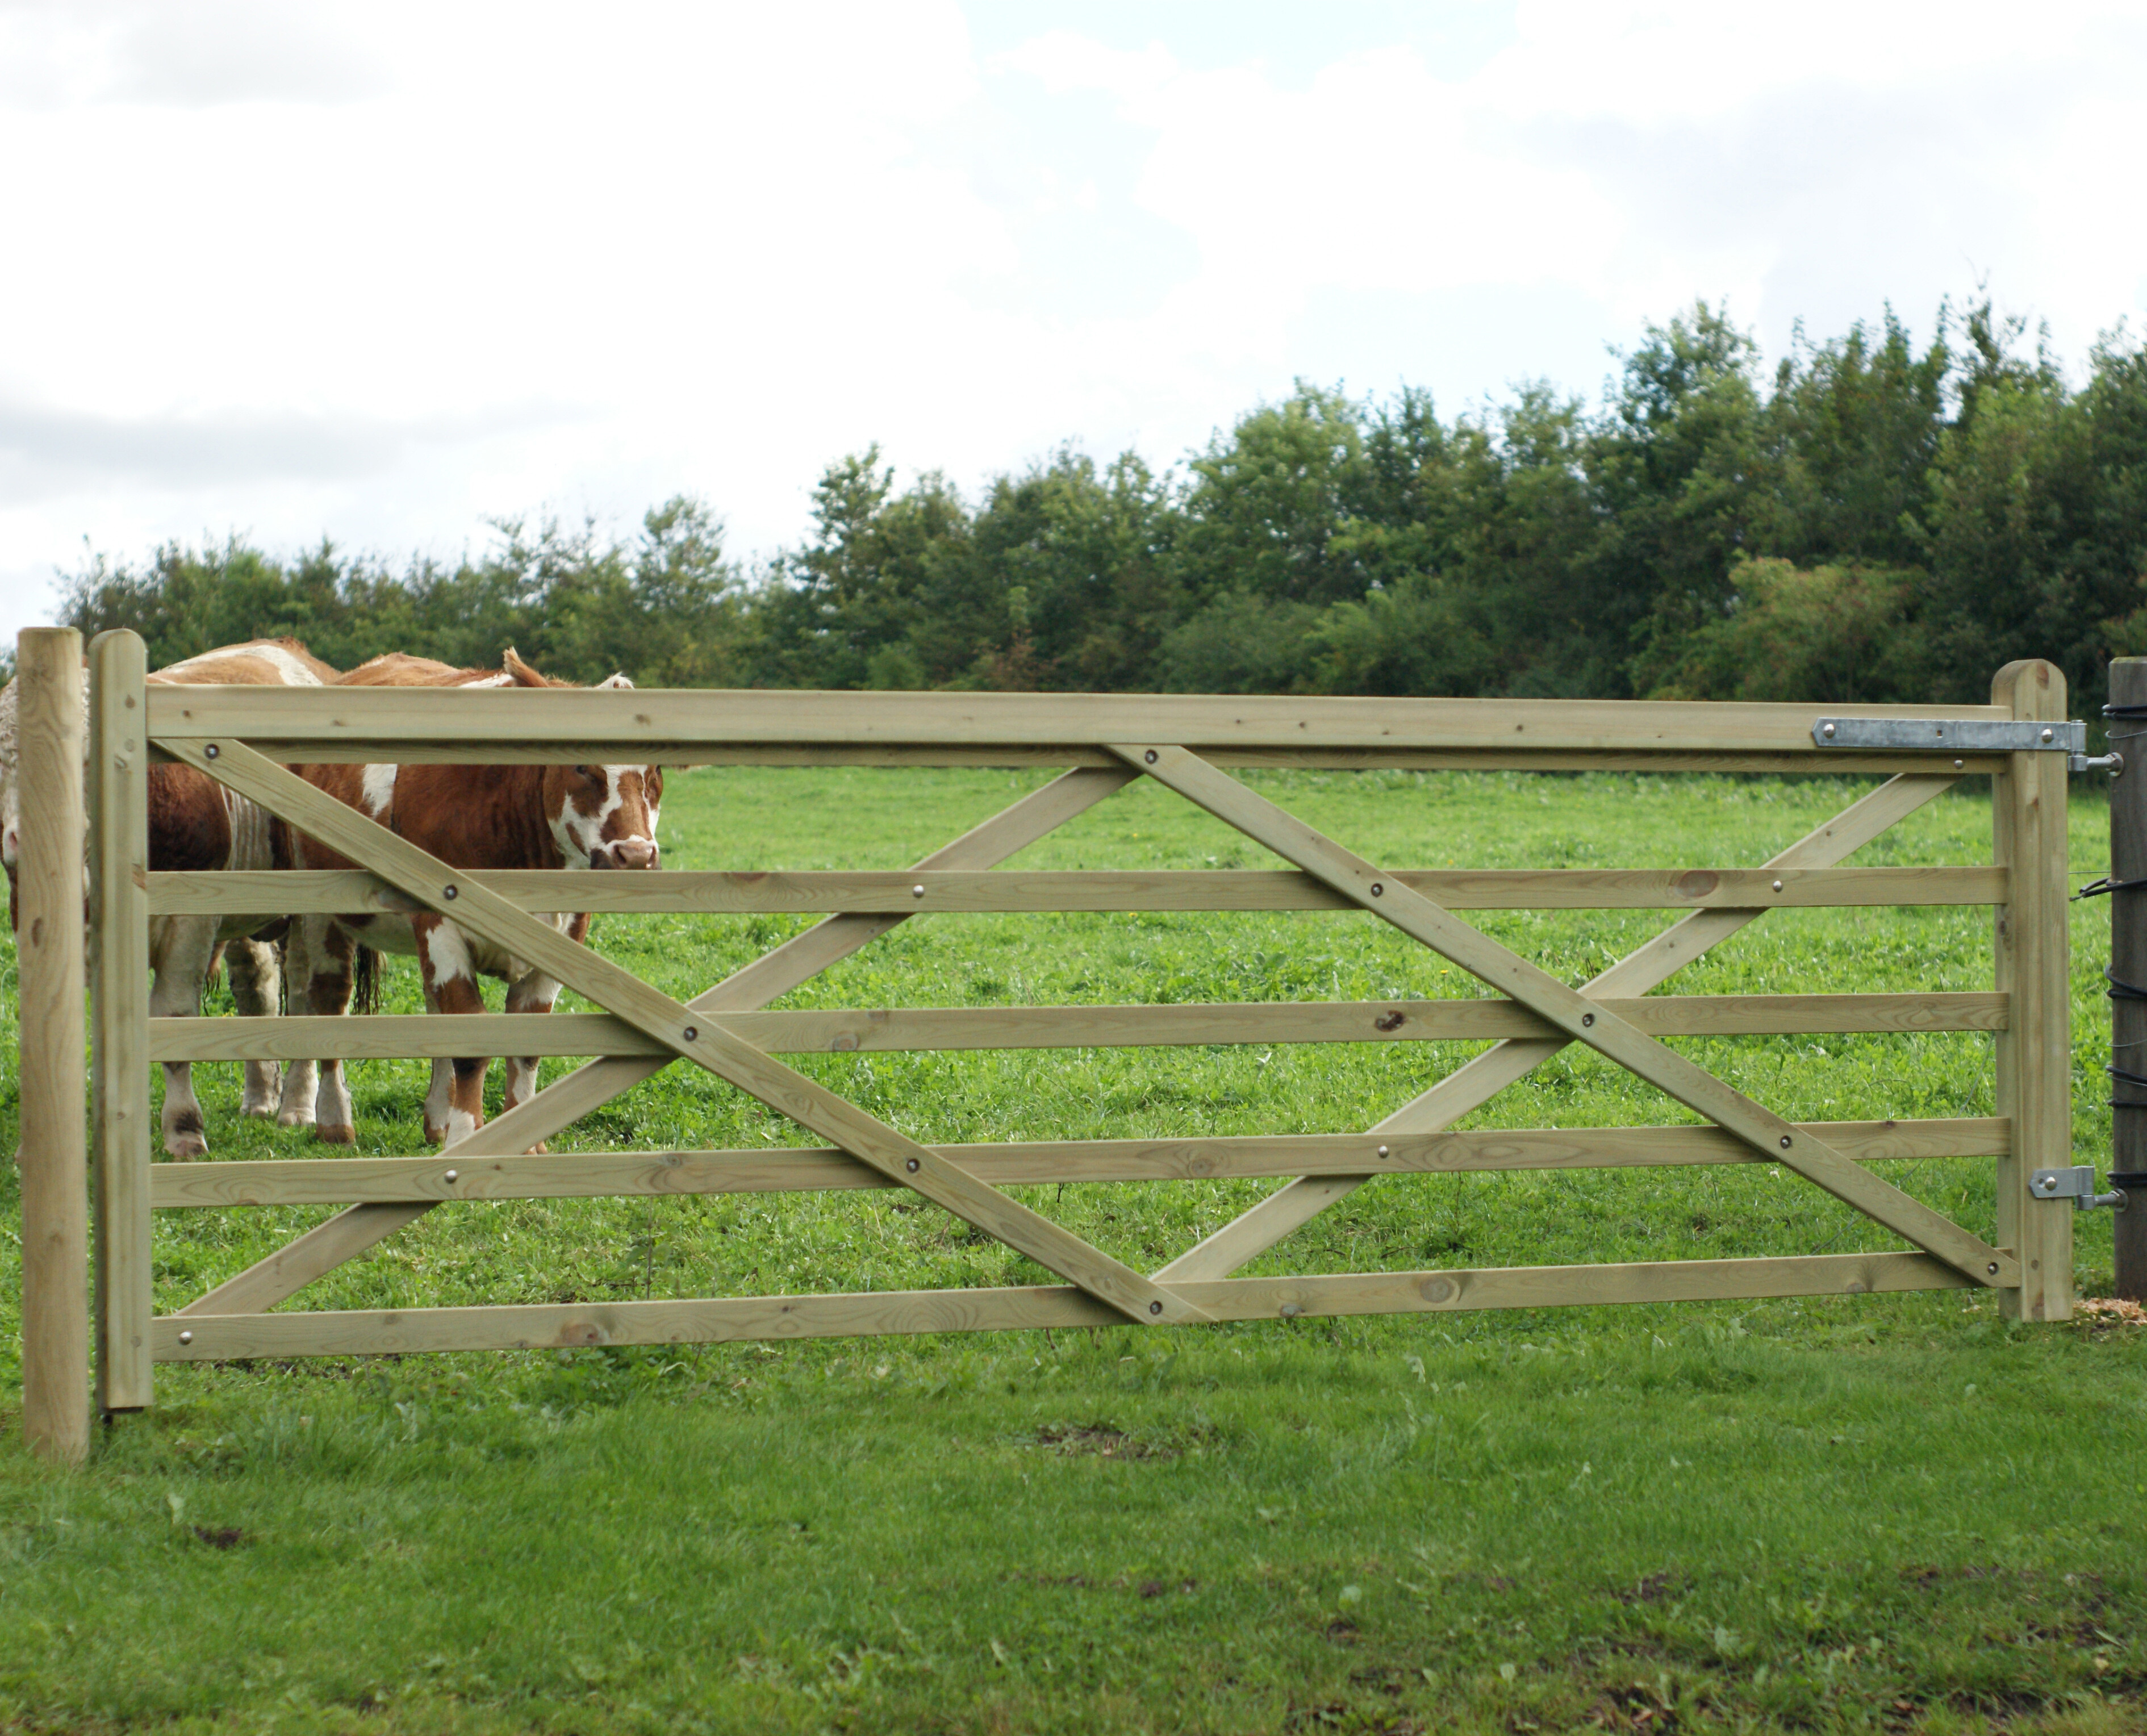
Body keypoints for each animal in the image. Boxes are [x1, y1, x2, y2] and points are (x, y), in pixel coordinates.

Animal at [0, 636, 339, 1151]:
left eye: (84, 758)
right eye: (1, 761)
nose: (28, 839)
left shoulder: (191, 919)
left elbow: (175, 1018)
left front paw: (183, 1129)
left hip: (309, 905)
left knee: (304, 995)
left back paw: (298, 1107)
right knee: (257, 987)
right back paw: (260, 1098)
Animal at [287, 644, 661, 1143]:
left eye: (655, 770)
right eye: (582, 766)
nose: (635, 854)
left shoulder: (566, 933)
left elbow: (524, 1043)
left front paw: (521, 1142)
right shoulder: (441, 923)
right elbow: (471, 1037)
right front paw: (468, 1137)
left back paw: (436, 1120)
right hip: (317, 905)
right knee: (330, 999)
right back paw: (334, 1120)